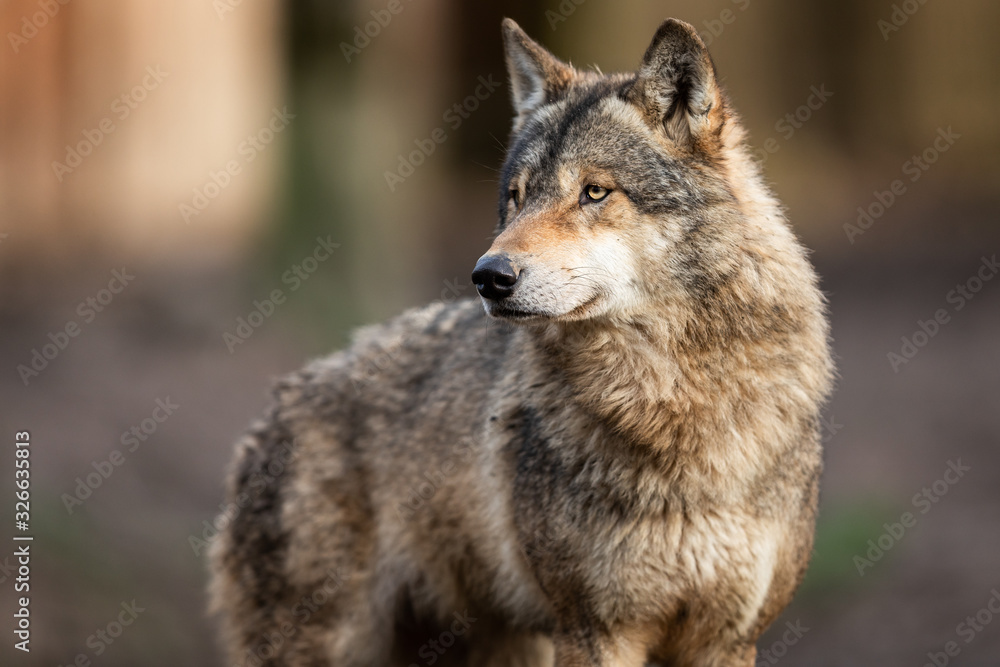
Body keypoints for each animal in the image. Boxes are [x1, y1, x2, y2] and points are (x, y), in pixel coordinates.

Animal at [209, 17, 836, 667]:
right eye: (516, 196)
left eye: (594, 193)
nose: (489, 276)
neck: (672, 397)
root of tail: (277, 406)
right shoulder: (592, 629)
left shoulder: (728, 639)